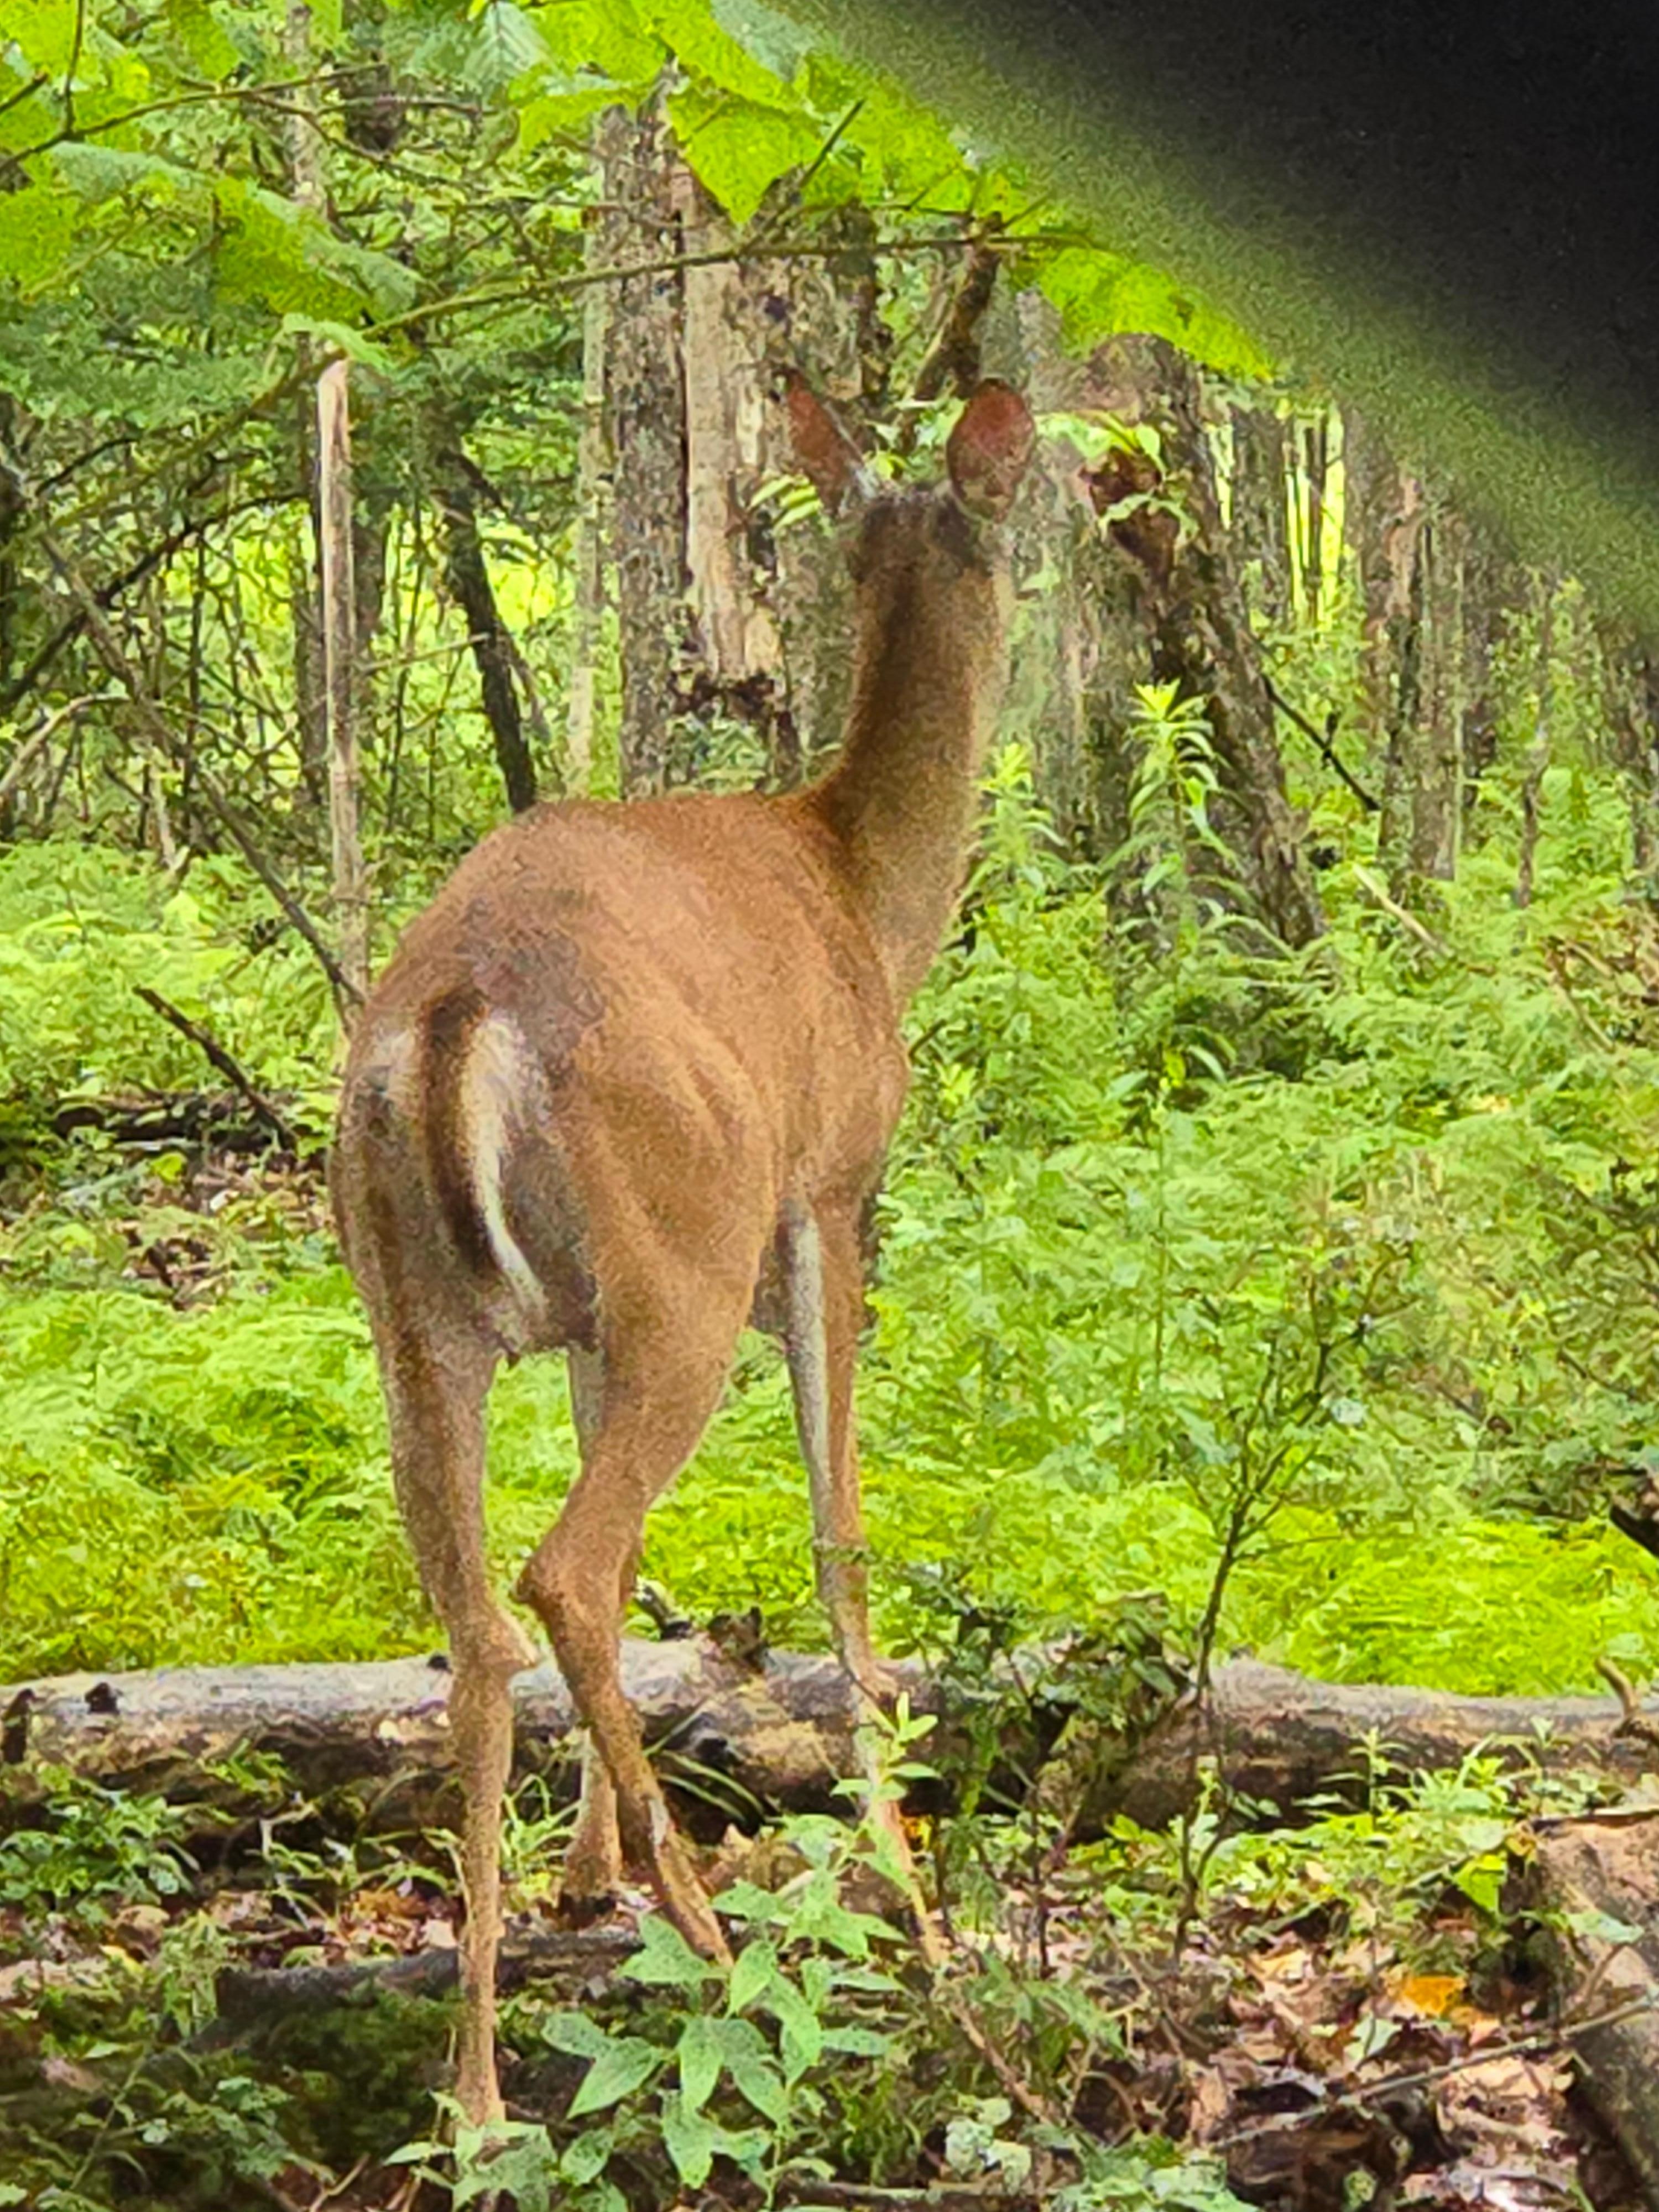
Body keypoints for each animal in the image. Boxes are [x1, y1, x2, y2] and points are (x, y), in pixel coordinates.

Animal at [329, 374, 1036, 2125]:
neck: (863, 899)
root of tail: (455, 1013)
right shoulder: (829, 1192)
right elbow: (842, 1536)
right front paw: (907, 1890)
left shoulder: (583, 1322)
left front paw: (584, 1873)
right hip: (688, 1258)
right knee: (567, 1570)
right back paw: (709, 1939)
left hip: (420, 1315)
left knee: (480, 1623)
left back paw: (480, 2085)